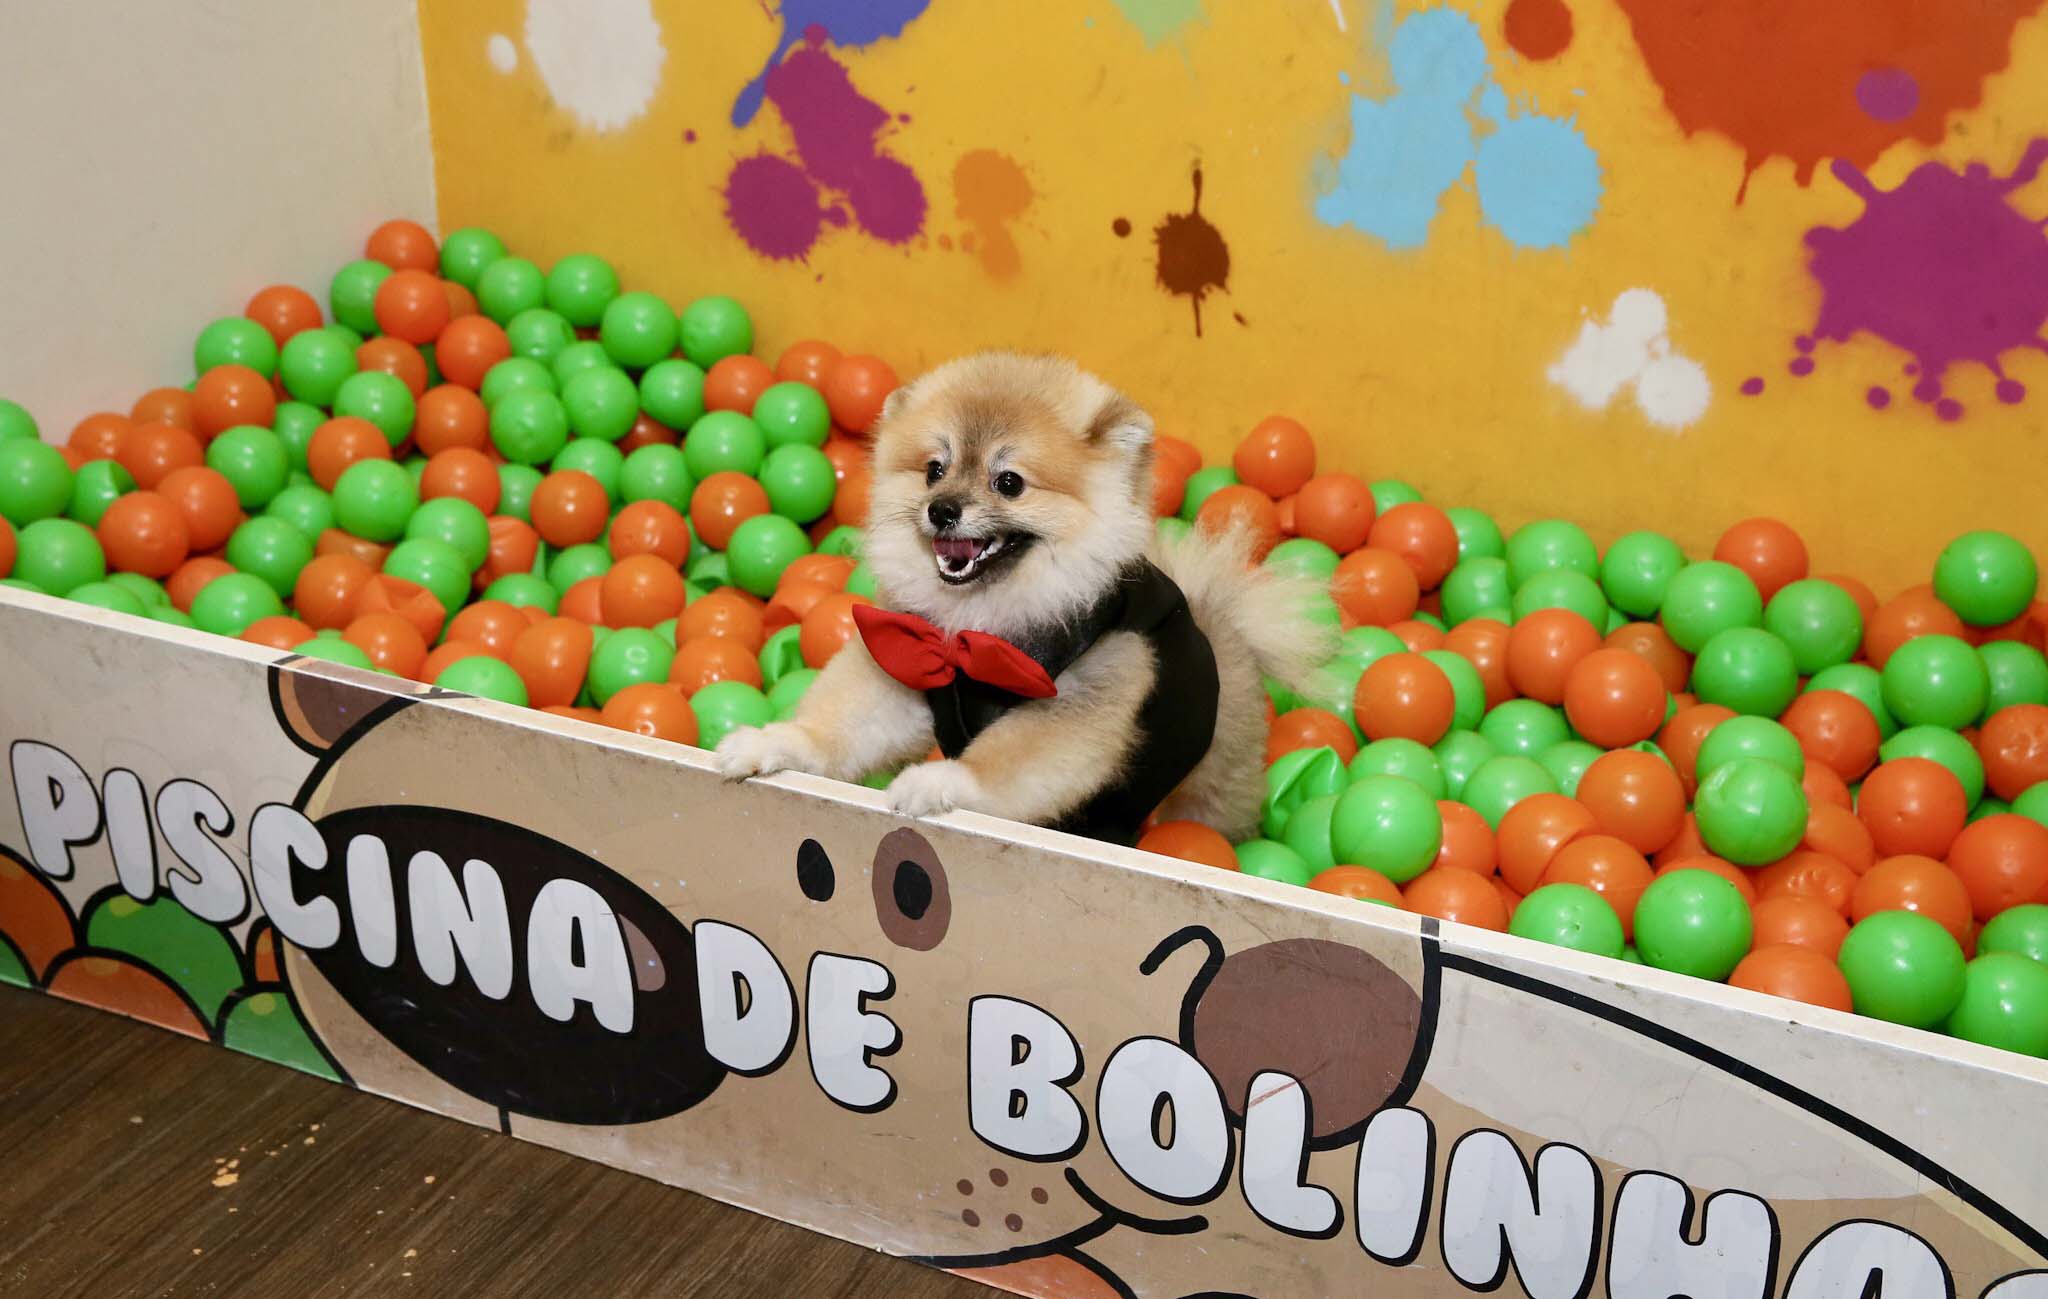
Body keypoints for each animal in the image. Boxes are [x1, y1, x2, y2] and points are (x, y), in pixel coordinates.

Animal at [716, 348, 1327, 844]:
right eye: (934, 470)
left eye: (1008, 482)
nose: (942, 509)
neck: (971, 628)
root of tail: (1221, 625)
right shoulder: (904, 666)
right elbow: (837, 727)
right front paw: (769, 744)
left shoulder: (1082, 700)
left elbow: (1007, 762)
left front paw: (938, 780)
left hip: (1208, 786)